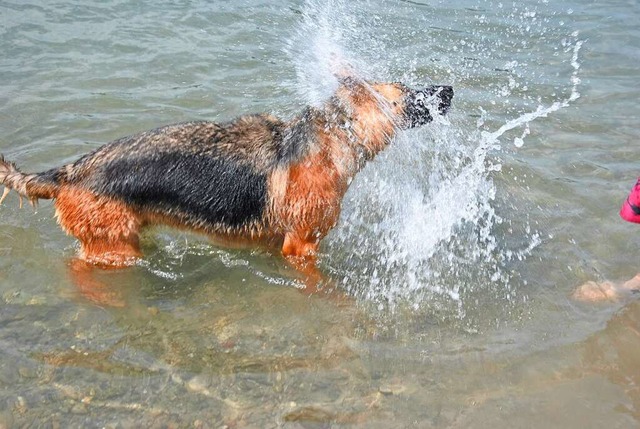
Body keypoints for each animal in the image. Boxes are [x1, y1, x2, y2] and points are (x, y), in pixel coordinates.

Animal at [0, 76, 452, 282]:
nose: (448, 88)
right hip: (114, 251)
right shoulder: (301, 249)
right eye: (406, 93)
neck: (334, 138)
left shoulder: (277, 242)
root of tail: (70, 170)